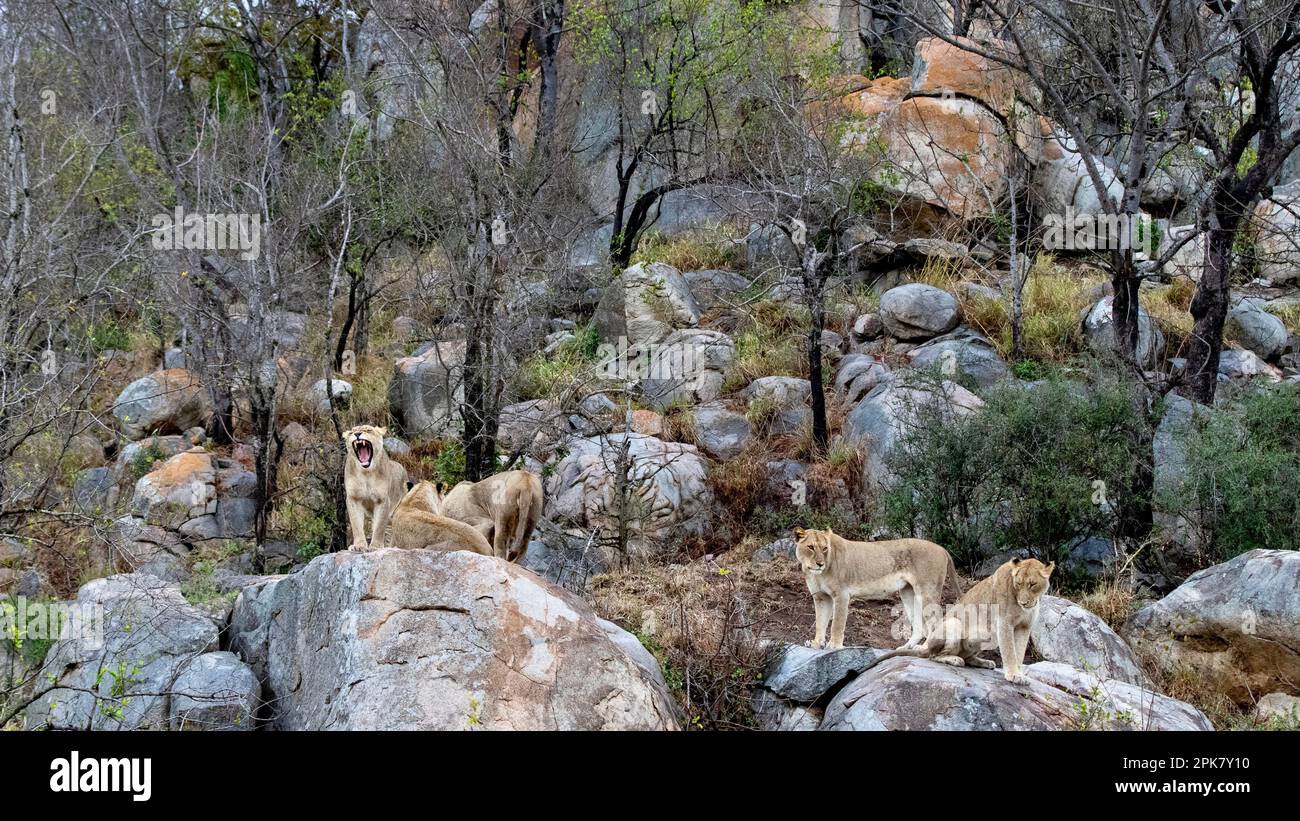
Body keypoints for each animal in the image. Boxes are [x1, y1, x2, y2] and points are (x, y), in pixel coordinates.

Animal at [794, 527, 958, 651]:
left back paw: (924, 648)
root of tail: (942, 548)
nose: (820, 563)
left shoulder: (841, 594)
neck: (817, 574)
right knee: (918, 626)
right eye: (811, 547)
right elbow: (820, 622)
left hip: (927, 592)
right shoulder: (821, 597)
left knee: (936, 620)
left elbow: (837, 623)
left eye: (824, 548)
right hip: (908, 593)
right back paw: (906, 648)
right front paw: (816, 644)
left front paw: (833, 646)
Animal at [860, 557, 1055, 684]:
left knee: (966, 657)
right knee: (934, 656)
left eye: (1032, 584)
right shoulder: (1004, 624)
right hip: (954, 624)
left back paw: (983, 662)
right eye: (1018, 583)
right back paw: (954, 659)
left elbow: (1019, 651)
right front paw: (1014, 675)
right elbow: (1009, 651)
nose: (1023, 602)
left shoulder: (1024, 627)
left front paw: (1020, 674)